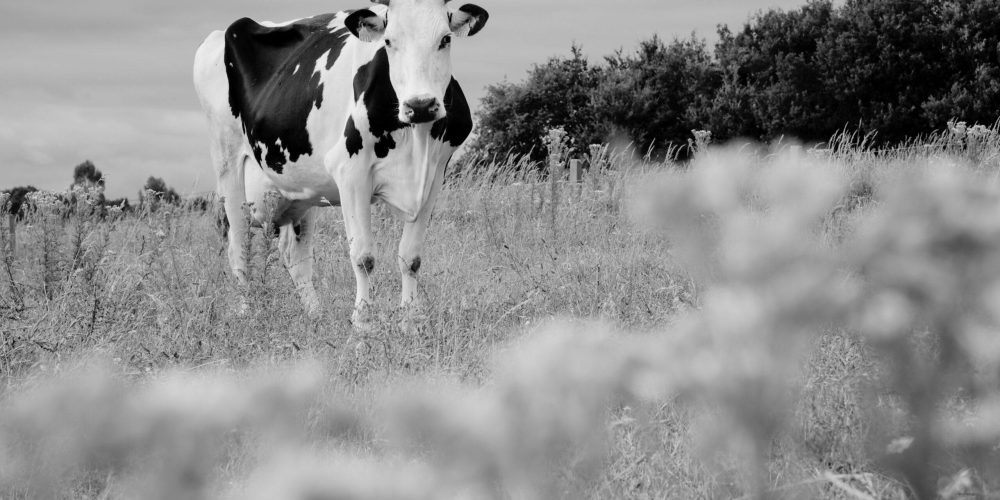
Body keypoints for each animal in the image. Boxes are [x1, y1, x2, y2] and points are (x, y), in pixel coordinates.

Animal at [193, 0, 488, 328]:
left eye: (445, 39)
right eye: (389, 42)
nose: (421, 105)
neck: (416, 140)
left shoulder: (434, 175)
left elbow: (410, 258)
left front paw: (410, 321)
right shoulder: (351, 173)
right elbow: (363, 256)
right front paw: (362, 323)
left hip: (299, 189)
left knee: (294, 256)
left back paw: (315, 315)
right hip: (227, 163)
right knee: (239, 246)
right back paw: (248, 315)